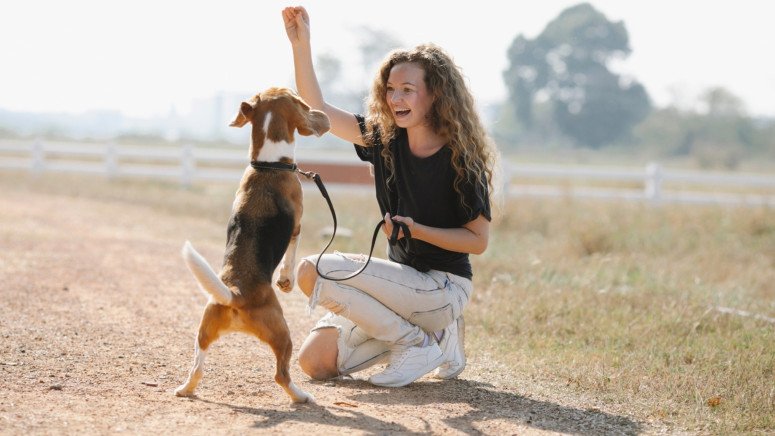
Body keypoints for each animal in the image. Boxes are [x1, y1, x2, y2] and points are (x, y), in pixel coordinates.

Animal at [176, 87, 330, 404]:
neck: (268, 165)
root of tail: (235, 293)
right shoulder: (297, 225)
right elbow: (291, 256)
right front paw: (286, 280)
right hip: (283, 334)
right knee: (281, 375)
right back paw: (301, 396)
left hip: (203, 331)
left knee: (197, 367)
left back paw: (185, 389)